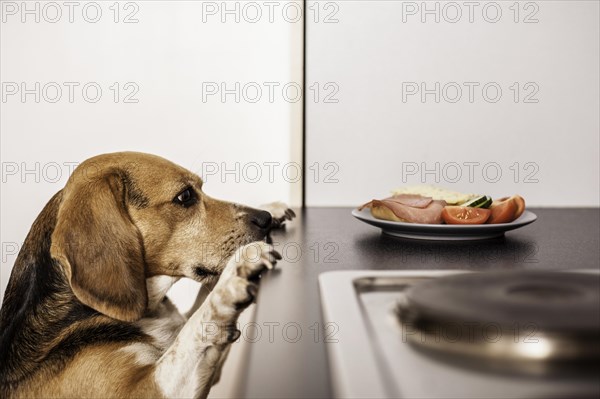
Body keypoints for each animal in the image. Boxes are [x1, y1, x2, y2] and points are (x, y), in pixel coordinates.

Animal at [0, 152, 296, 398]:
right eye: (185, 196)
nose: (264, 218)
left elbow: (194, 319)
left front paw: (273, 209)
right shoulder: (142, 390)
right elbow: (196, 327)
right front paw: (236, 273)